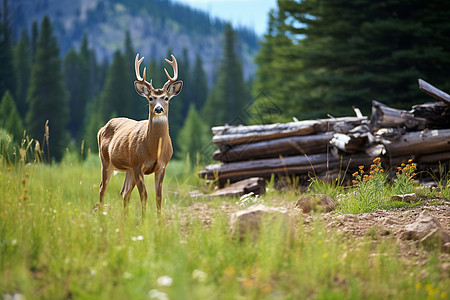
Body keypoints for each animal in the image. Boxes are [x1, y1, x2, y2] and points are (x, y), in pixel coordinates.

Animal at [93, 54, 183, 217]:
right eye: (150, 98)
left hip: (128, 169)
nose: (158, 109)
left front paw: (159, 220)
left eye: (166, 98)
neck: (154, 150)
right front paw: (144, 219)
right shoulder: (138, 164)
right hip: (106, 160)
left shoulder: (162, 166)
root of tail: (102, 128)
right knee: (103, 188)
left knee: (124, 192)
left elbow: (158, 196)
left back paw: (125, 218)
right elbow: (144, 195)